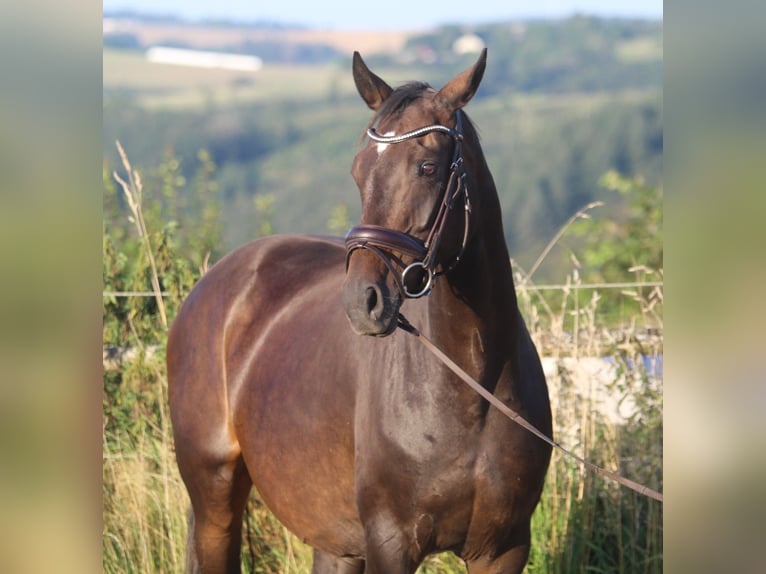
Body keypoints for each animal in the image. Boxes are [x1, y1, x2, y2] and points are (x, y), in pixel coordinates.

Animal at [166, 50, 552, 574]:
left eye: (427, 166)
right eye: (357, 170)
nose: (361, 301)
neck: (473, 386)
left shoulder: (503, 548)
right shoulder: (391, 541)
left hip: (335, 539)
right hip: (215, 501)